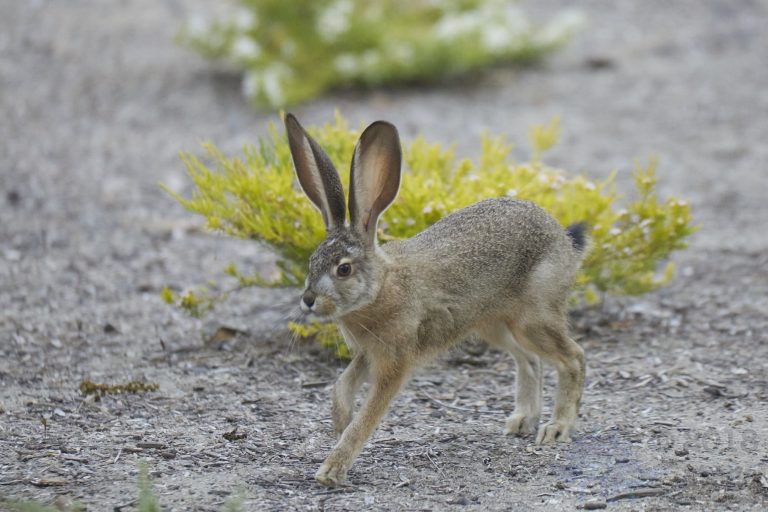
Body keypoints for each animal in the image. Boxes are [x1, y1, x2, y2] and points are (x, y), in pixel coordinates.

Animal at [284, 113, 587, 487]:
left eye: (343, 269)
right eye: (312, 262)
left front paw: (332, 468)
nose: (309, 300)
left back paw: (557, 427)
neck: (381, 287)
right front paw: (340, 423)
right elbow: (341, 386)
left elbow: (369, 415)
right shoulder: (369, 353)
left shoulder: (394, 361)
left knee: (573, 357)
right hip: (493, 325)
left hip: (533, 318)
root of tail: (562, 239)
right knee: (529, 359)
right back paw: (522, 421)